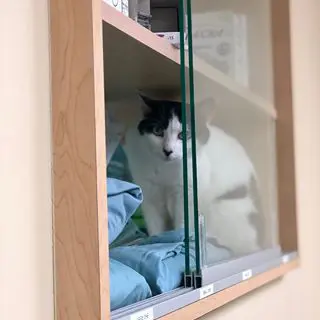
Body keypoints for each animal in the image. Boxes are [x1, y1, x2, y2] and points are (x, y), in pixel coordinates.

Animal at [122, 95, 262, 255]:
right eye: (157, 130)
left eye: (184, 135)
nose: (167, 150)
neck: (166, 169)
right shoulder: (149, 193)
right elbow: (155, 224)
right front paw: (155, 241)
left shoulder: (187, 194)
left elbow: (182, 223)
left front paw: (179, 242)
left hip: (222, 209)